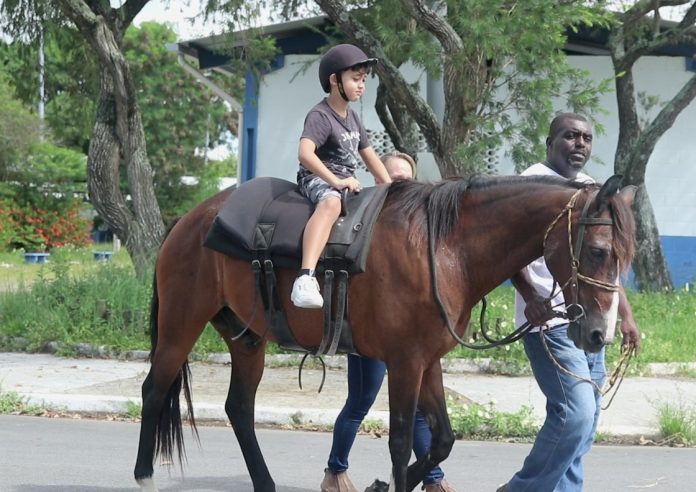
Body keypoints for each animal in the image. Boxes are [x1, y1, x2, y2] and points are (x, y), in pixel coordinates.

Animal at [132, 174, 636, 492]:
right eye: (596, 251)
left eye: (625, 257)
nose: (599, 334)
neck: (444, 248)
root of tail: (191, 219)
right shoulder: (405, 362)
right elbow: (399, 440)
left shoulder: (428, 361)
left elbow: (442, 440)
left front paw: (384, 484)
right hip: (181, 323)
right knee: (155, 390)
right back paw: (145, 477)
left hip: (249, 338)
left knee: (238, 408)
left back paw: (265, 483)